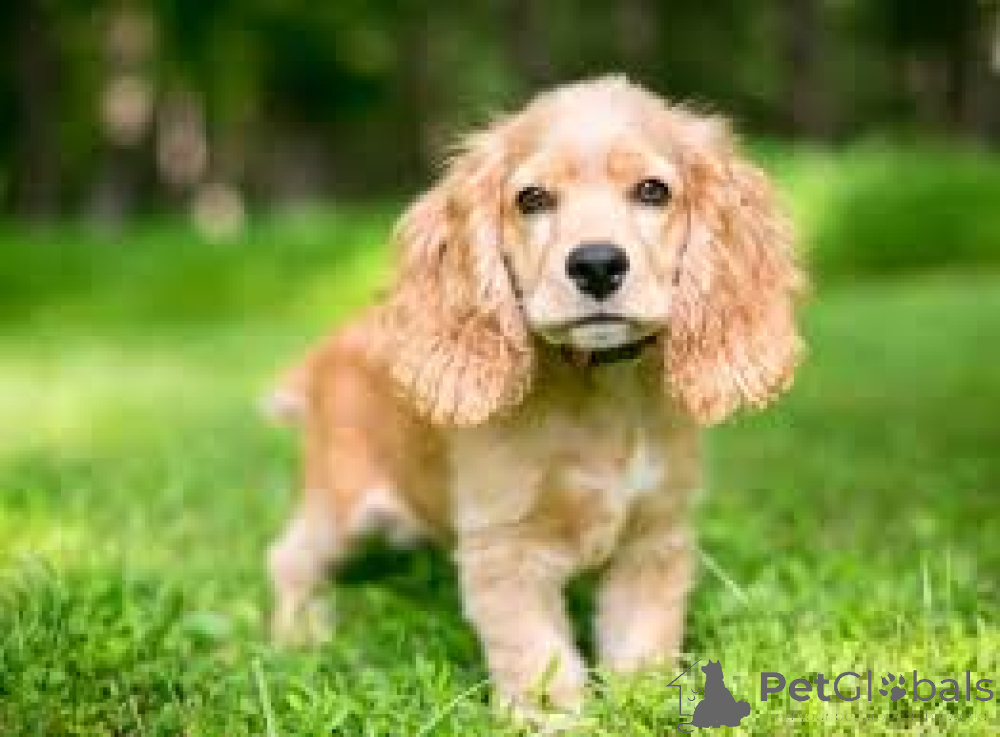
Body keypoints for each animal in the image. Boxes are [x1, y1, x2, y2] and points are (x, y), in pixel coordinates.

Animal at [266, 76, 804, 715]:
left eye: (653, 191)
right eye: (532, 199)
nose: (596, 265)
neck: (601, 387)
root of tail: (325, 349)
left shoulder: (655, 537)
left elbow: (642, 640)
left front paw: (644, 703)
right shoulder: (506, 551)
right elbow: (538, 657)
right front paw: (556, 719)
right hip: (340, 504)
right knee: (289, 558)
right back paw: (299, 634)